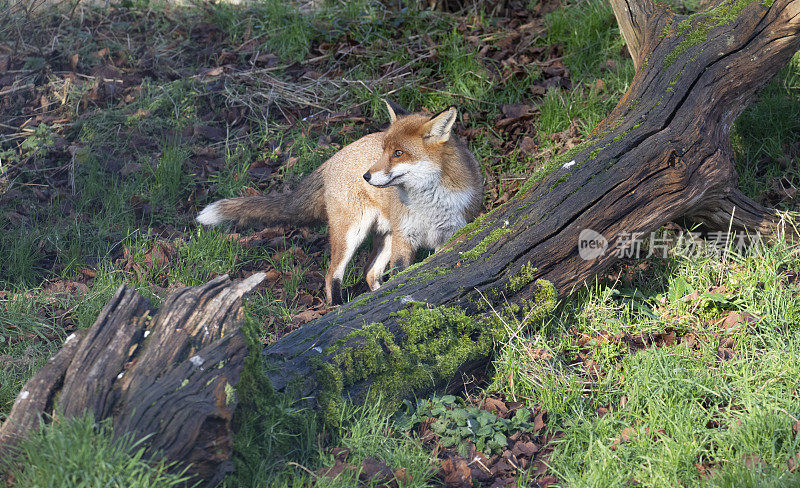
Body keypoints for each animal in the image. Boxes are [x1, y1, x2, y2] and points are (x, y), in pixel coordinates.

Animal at [195, 100, 482, 304]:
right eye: (383, 151)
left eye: (398, 153)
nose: (366, 176)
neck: (428, 204)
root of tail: (332, 159)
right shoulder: (405, 238)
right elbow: (401, 274)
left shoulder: (451, 234)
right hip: (352, 234)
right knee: (331, 275)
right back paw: (336, 309)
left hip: (385, 237)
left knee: (369, 272)